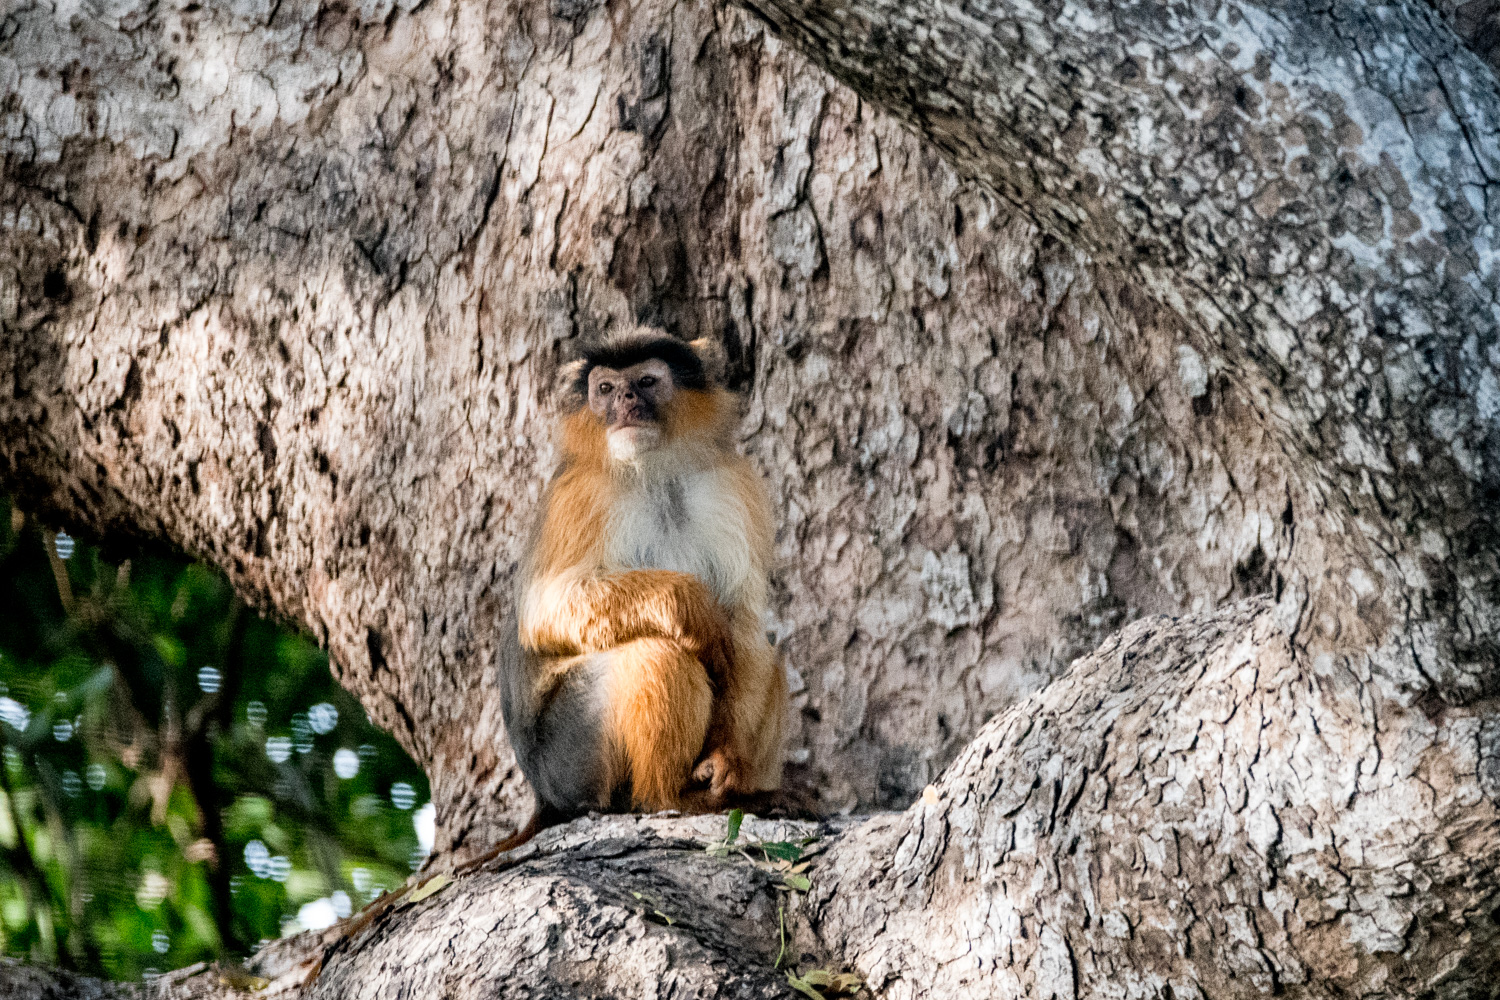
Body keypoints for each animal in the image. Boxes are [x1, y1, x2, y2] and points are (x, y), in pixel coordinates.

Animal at [501, 328, 792, 845]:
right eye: (606, 389)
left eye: (646, 381)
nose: (626, 402)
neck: (656, 474)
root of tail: (544, 797)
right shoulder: (580, 494)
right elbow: (544, 607)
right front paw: (689, 604)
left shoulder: (733, 484)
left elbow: (744, 621)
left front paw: (726, 760)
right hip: (570, 758)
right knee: (655, 653)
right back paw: (669, 797)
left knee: (766, 653)